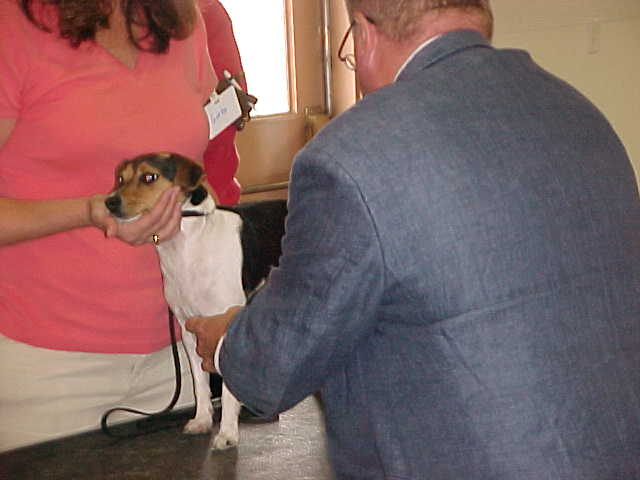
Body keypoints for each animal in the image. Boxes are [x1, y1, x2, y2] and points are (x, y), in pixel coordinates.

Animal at [104, 153, 288, 450]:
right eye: (121, 178)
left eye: (149, 177)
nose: (110, 202)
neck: (190, 245)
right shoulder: (190, 329)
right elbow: (200, 383)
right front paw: (202, 419)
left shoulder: (224, 327)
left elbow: (226, 389)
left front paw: (227, 432)